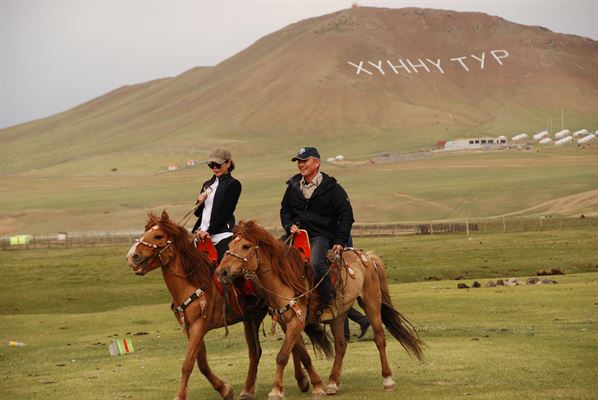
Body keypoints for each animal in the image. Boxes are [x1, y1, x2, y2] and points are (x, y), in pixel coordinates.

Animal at [125, 211, 324, 398]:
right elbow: (202, 364)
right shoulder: (191, 328)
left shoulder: (199, 326)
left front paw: (180, 395)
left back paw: (304, 382)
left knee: (293, 344)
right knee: (267, 350)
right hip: (254, 318)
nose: (132, 256)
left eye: (158, 236)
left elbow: (187, 364)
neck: (193, 281)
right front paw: (224, 389)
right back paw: (259, 388)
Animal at [218, 220, 424, 398]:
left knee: (379, 339)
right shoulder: (288, 322)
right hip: (339, 314)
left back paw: (388, 380)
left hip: (372, 303)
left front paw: (276, 390)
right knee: (341, 345)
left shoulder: (296, 322)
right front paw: (313, 384)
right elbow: (301, 353)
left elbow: (282, 356)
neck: (284, 280)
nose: (222, 272)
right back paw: (332, 383)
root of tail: (367, 256)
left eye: (245, 246)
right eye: (231, 244)